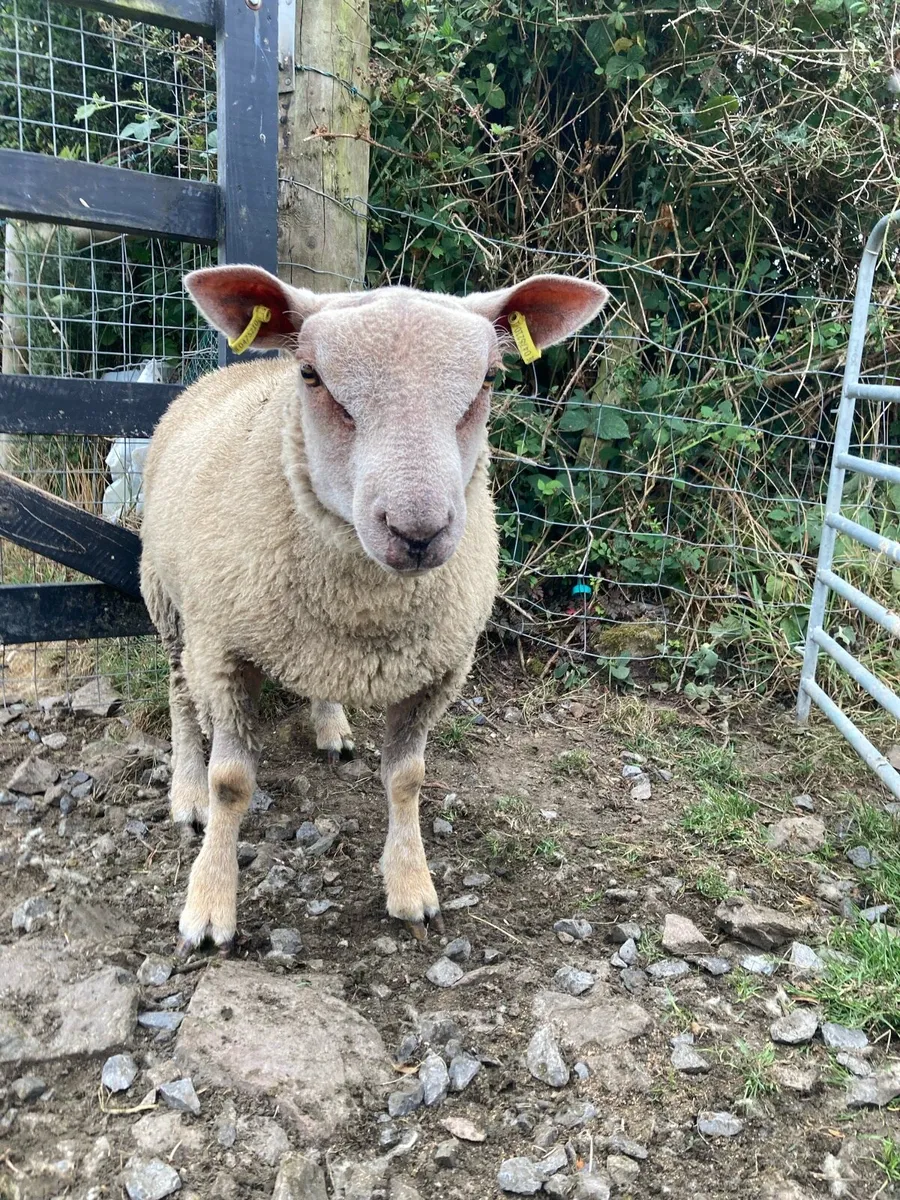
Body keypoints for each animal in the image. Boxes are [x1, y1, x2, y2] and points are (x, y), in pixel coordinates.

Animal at [139, 265, 608, 954]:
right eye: (311, 375)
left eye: (489, 379)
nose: (418, 530)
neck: (364, 605)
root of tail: (224, 374)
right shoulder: (223, 652)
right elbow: (233, 784)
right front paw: (209, 904)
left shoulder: (440, 669)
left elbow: (407, 778)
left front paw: (411, 886)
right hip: (169, 600)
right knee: (177, 691)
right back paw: (187, 790)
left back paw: (331, 725)